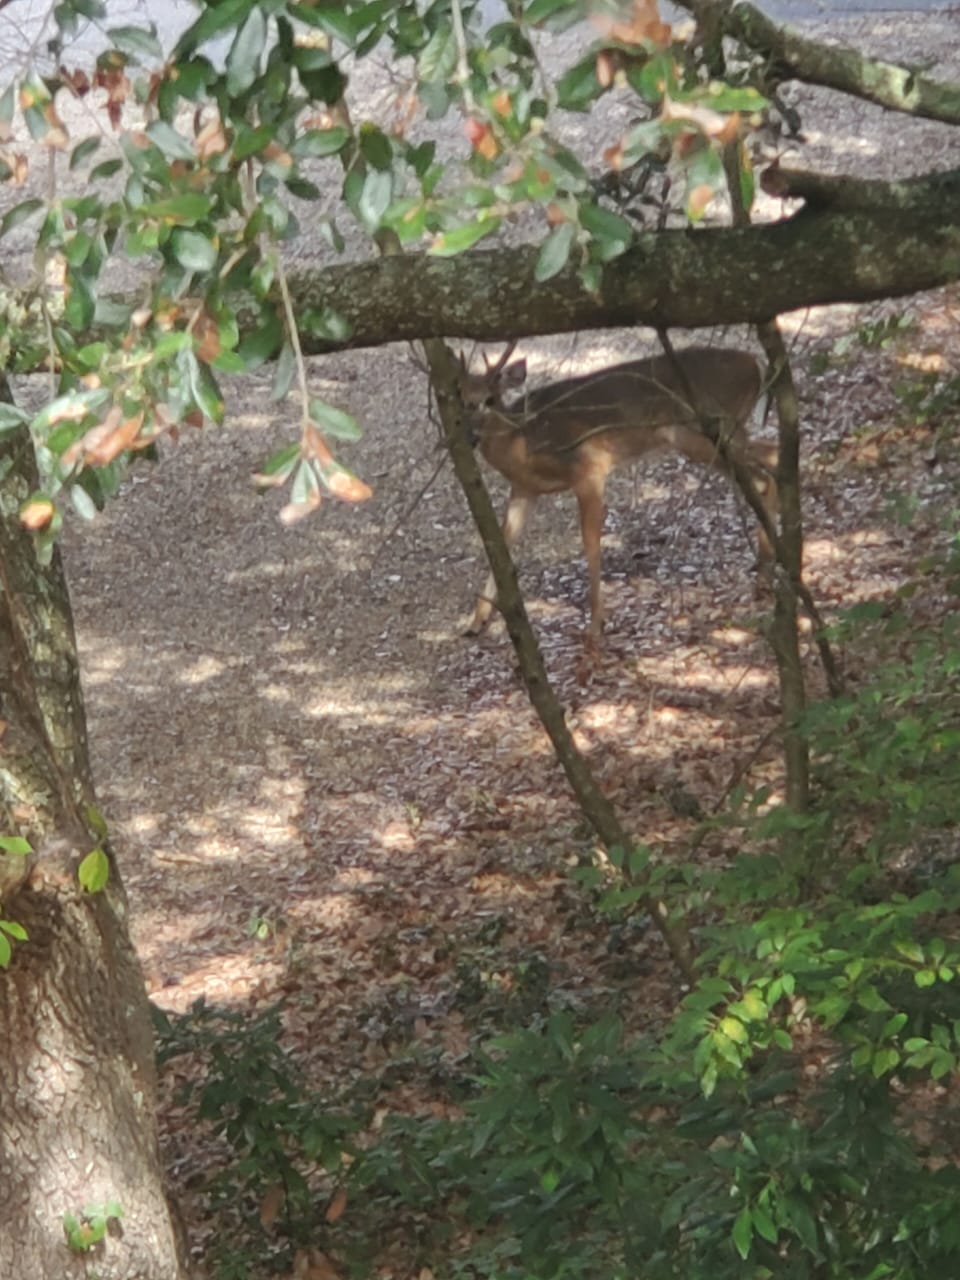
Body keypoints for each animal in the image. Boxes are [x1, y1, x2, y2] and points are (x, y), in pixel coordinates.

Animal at [457, 344, 778, 641]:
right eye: (459, 400)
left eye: (489, 400)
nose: (470, 437)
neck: (522, 441)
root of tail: (756, 364)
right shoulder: (524, 489)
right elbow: (501, 542)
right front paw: (476, 622)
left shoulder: (589, 467)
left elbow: (590, 542)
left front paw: (596, 624)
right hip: (708, 438)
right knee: (771, 458)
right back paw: (767, 568)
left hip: (712, 431)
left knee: (765, 472)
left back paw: (766, 574)